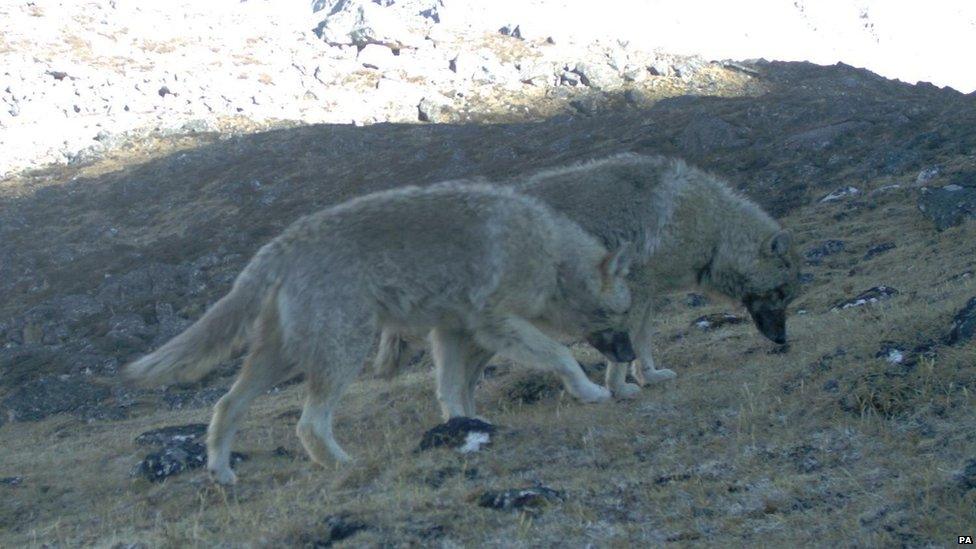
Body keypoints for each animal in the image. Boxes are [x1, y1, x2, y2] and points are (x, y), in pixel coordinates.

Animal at [124, 181, 632, 484]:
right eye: (623, 317)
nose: (629, 358)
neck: (551, 254)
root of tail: (280, 244)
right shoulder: (494, 324)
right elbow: (561, 356)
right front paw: (591, 392)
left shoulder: (451, 333)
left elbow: (454, 394)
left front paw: (465, 430)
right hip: (343, 354)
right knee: (308, 424)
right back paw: (345, 465)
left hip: (282, 360)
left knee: (226, 406)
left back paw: (221, 472)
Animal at [374, 153, 800, 402]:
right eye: (780, 293)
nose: (783, 340)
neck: (710, 230)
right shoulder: (636, 292)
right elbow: (631, 348)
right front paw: (621, 386)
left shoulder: (646, 296)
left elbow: (643, 343)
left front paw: (650, 375)